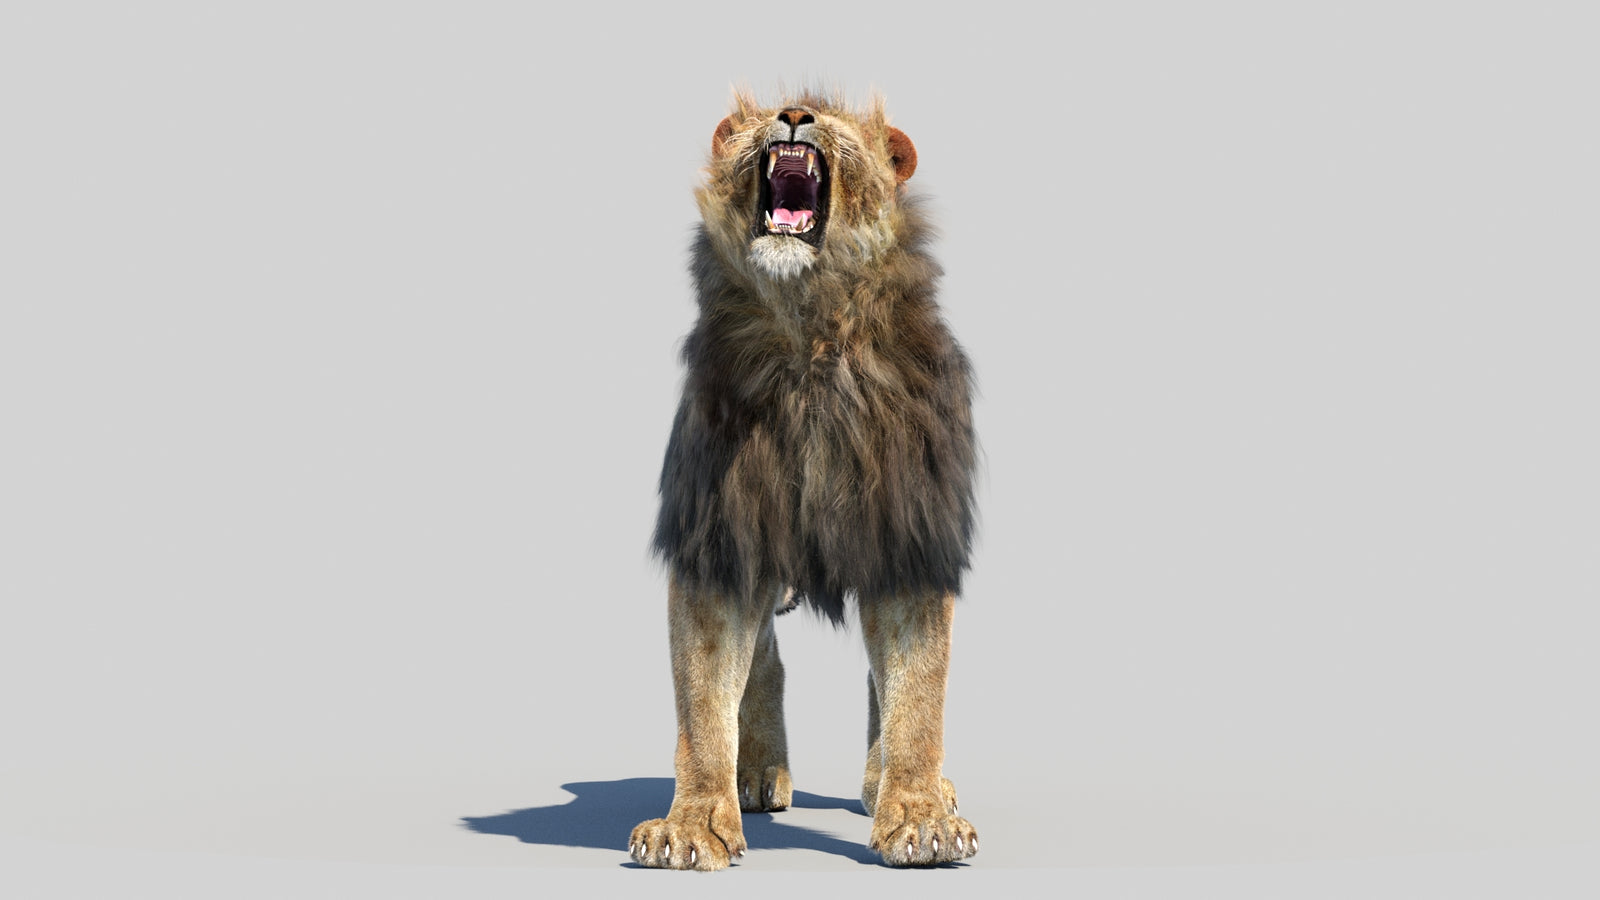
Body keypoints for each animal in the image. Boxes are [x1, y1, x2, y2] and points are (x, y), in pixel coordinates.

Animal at [629, 91, 979, 870]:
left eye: (836, 116)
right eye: (761, 112)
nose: (793, 114)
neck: (810, 328)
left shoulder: (908, 536)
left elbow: (917, 690)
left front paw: (920, 817)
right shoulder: (721, 535)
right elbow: (703, 697)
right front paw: (691, 823)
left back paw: (893, 786)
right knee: (763, 661)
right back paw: (757, 773)